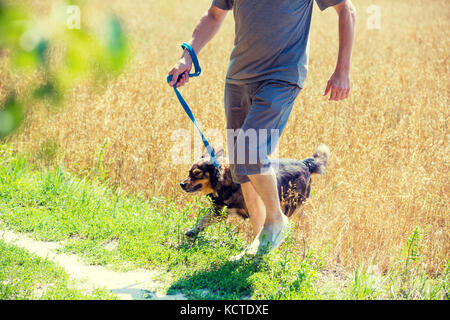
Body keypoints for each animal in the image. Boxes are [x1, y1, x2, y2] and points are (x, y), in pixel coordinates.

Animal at [179, 145, 330, 238]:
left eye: (197, 174)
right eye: (189, 172)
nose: (181, 184)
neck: (225, 180)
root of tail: (305, 164)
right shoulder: (221, 211)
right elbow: (204, 220)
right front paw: (193, 231)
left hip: (288, 205)